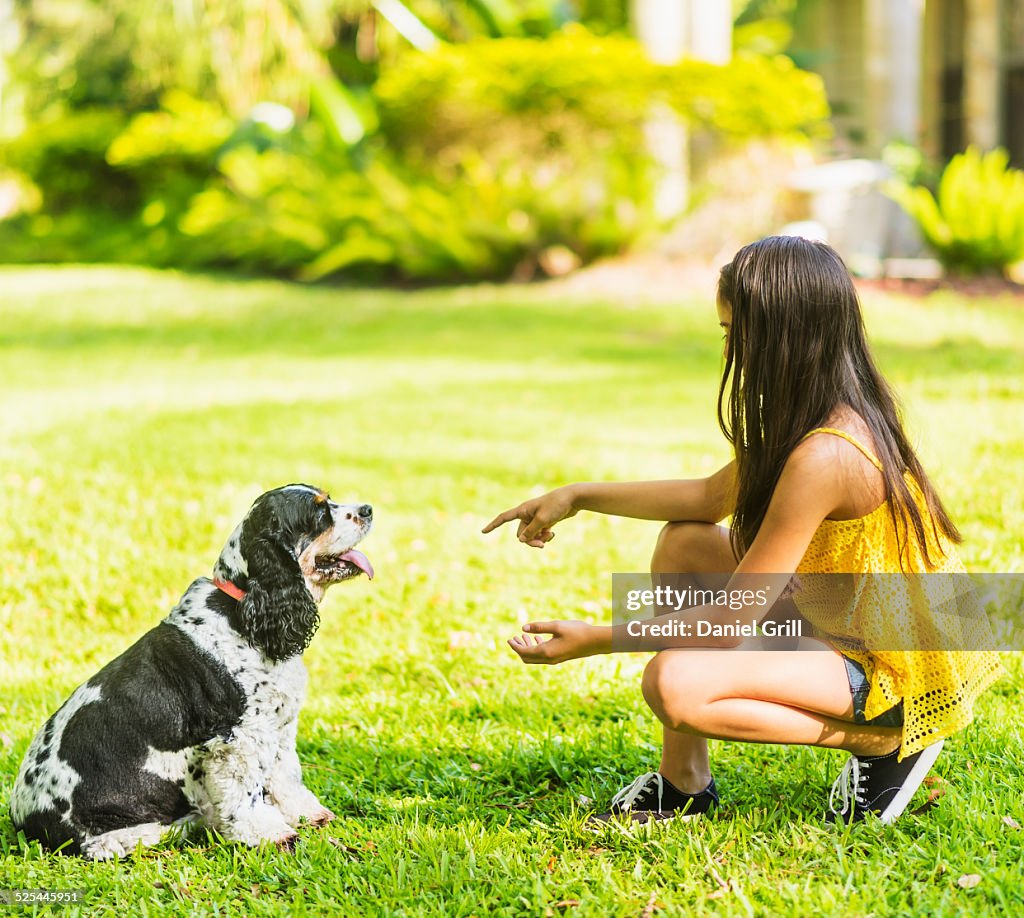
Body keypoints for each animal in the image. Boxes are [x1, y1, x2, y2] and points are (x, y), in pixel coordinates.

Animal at [9, 483, 374, 856]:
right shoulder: (237, 739)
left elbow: (286, 776)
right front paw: (270, 834)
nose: (368, 509)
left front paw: (307, 814)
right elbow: (245, 796)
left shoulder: (278, 729)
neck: (244, 610)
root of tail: (25, 822)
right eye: (320, 513)